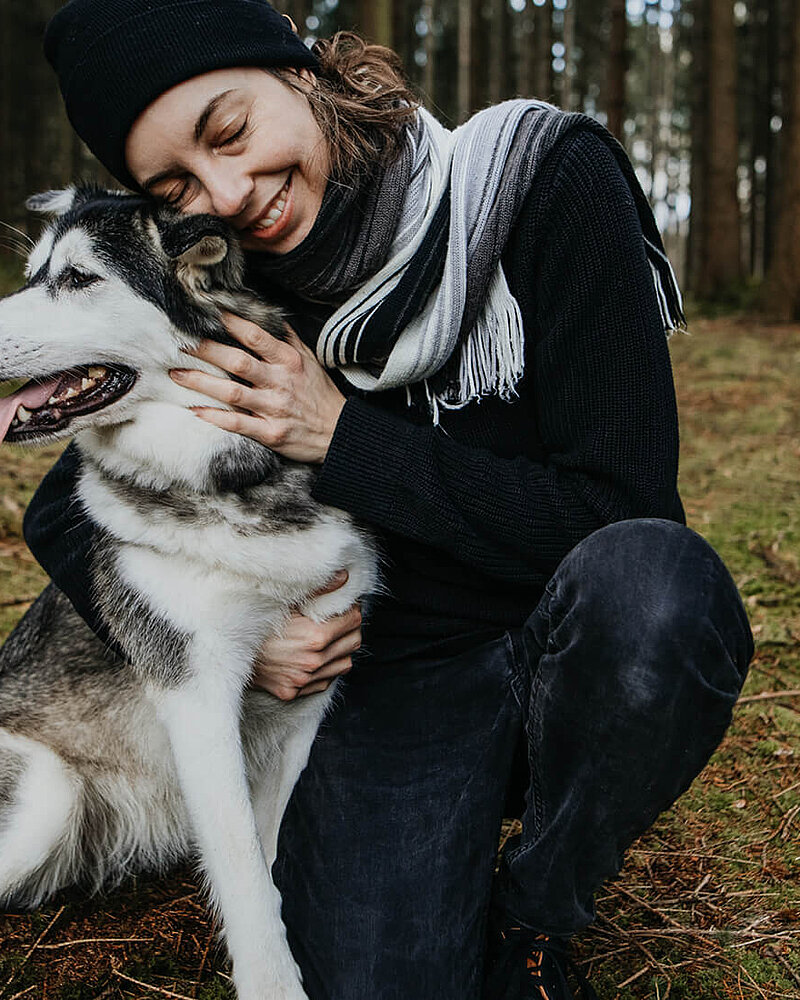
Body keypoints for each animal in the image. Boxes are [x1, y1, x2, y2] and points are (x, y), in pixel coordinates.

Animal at [0, 184, 378, 996]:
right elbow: (242, 876)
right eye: (35, 273)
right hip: (44, 792)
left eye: (77, 279)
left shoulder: (308, 693)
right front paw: (274, 983)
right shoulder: (197, 693)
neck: (233, 485)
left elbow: (264, 860)